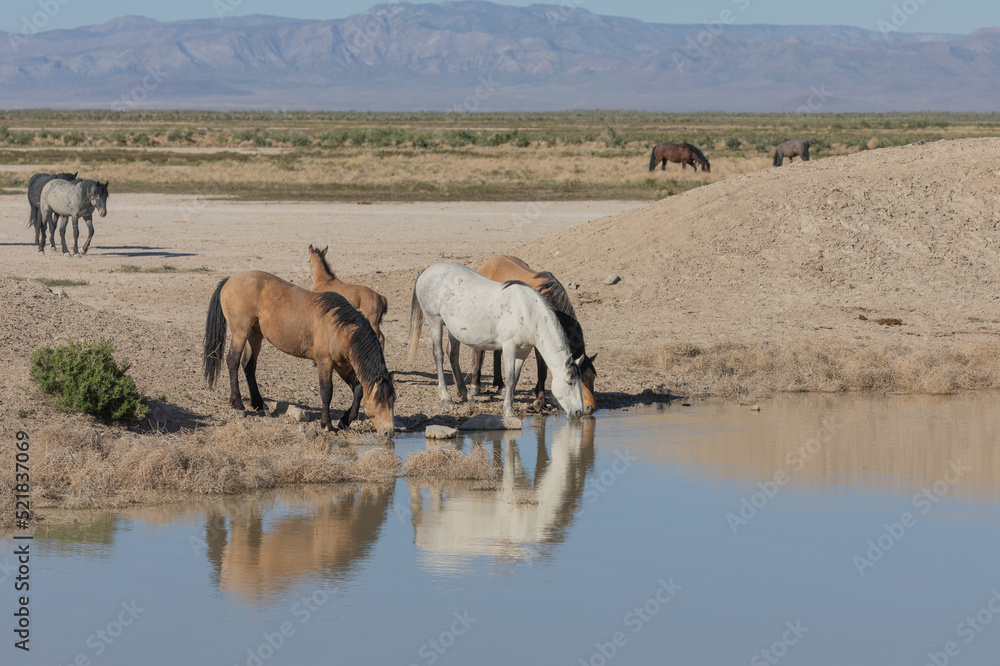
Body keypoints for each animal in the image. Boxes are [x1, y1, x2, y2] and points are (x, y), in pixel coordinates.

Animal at [203, 271, 395, 436]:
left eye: (392, 400)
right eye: (380, 401)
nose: (389, 432)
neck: (340, 327)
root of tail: (230, 280)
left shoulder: (342, 365)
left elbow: (358, 389)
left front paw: (345, 420)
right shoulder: (325, 363)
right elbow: (327, 391)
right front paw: (327, 424)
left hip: (254, 335)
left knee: (249, 366)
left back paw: (259, 405)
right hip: (240, 332)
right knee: (233, 362)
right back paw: (238, 405)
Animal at [407, 263, 585, 420]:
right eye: (570, 382)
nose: (579, 412)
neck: (528, 312)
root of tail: (426, 271)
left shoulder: (523, 350)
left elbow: (516, 378)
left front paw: (507, 406)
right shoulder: (509, 347)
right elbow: (510, 377)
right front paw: (509, 411)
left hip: (453, 329)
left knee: (453, 355)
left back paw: (466, 394)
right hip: (434, 321)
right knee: (439, 354)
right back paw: (445, 396)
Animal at [469, 255, 597, 415]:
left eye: (592, 379)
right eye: (581, 380)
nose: (590, 408)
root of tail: (489, 262)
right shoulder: (538, 344)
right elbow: (542, 371)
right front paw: (540, 402)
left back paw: (500, 384)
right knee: (478, 350)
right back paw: (475, 385)